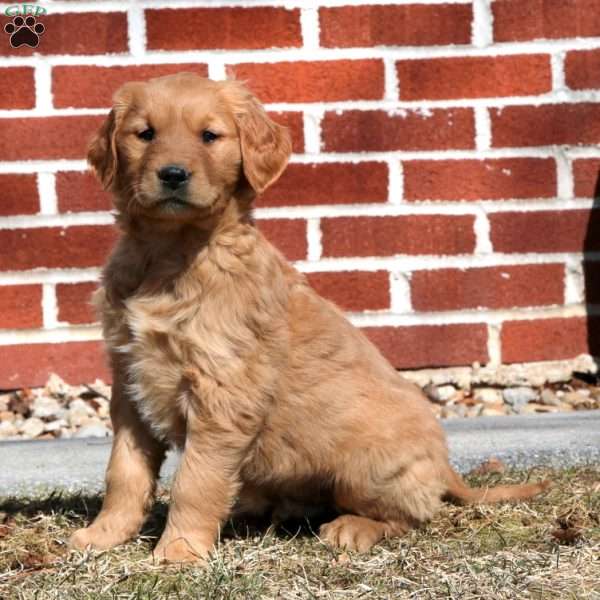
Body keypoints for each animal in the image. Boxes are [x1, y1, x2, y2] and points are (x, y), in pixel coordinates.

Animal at [69, 75, 548, 564]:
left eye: (209, 136)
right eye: (145, 134)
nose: (172, 174)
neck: (168, 253)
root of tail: (445, 463)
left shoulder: (223, 392)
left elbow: (195, 482)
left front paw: (179, 551)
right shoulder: (130, 382)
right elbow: (124, 471)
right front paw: (103, 535)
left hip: (366, 464)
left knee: (411, 513)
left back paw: (352, 528)